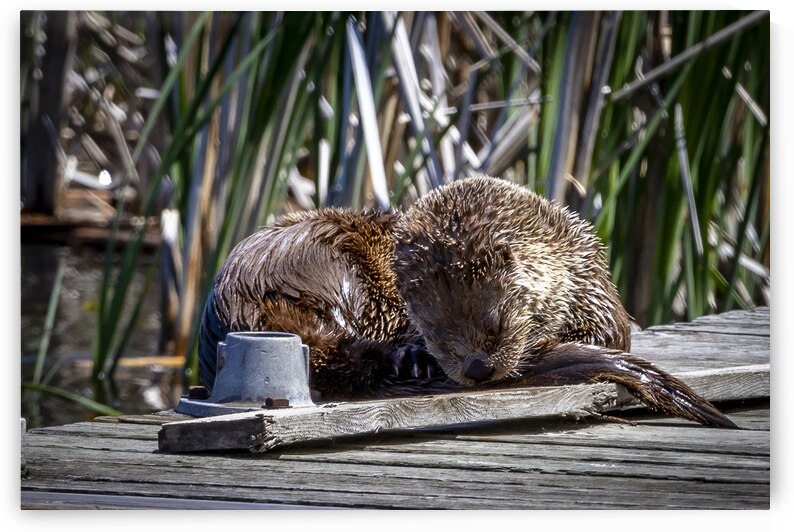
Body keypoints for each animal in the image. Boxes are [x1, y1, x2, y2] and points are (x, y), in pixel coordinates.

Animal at [391, 175, 736, 428]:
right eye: (439, 339)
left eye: (496, 324)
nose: (479, 369)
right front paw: (415, 356)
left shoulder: (589, 281)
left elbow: (610, 334)